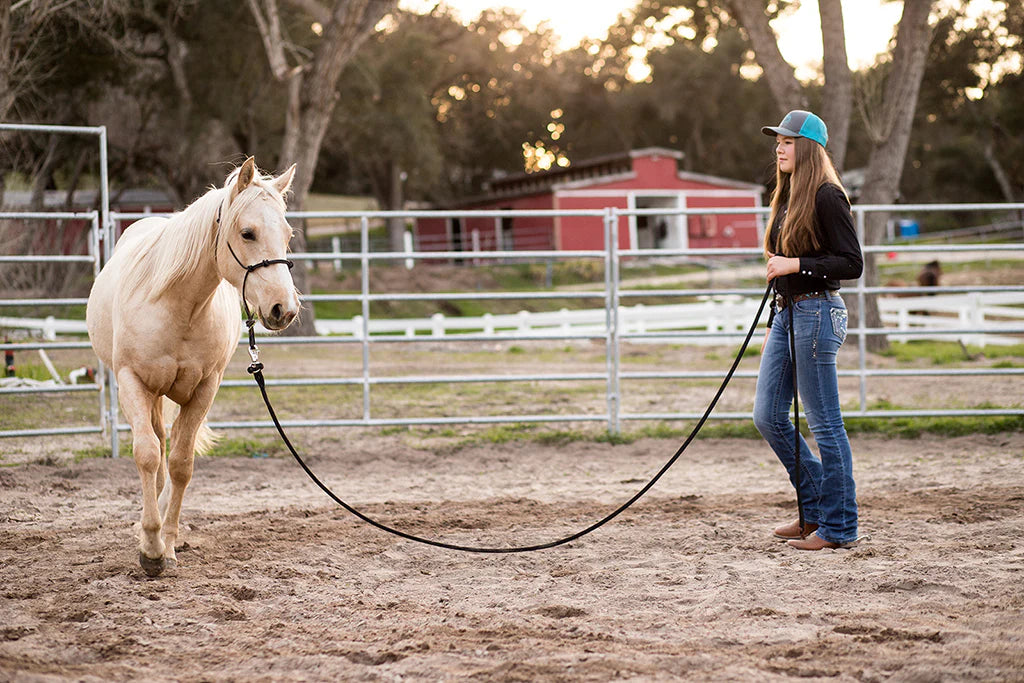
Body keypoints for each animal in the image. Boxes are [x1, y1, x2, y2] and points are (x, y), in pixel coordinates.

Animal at [87, 158, 299, 577]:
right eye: (248, 233)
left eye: (286, 235)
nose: (284, 309)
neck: (178, 306)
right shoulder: (132, 383)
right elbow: (147, 455)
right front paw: (150, 548)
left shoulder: (204, 389)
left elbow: (181, 464)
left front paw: (166, 545)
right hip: (150, 395)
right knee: (155, 447)